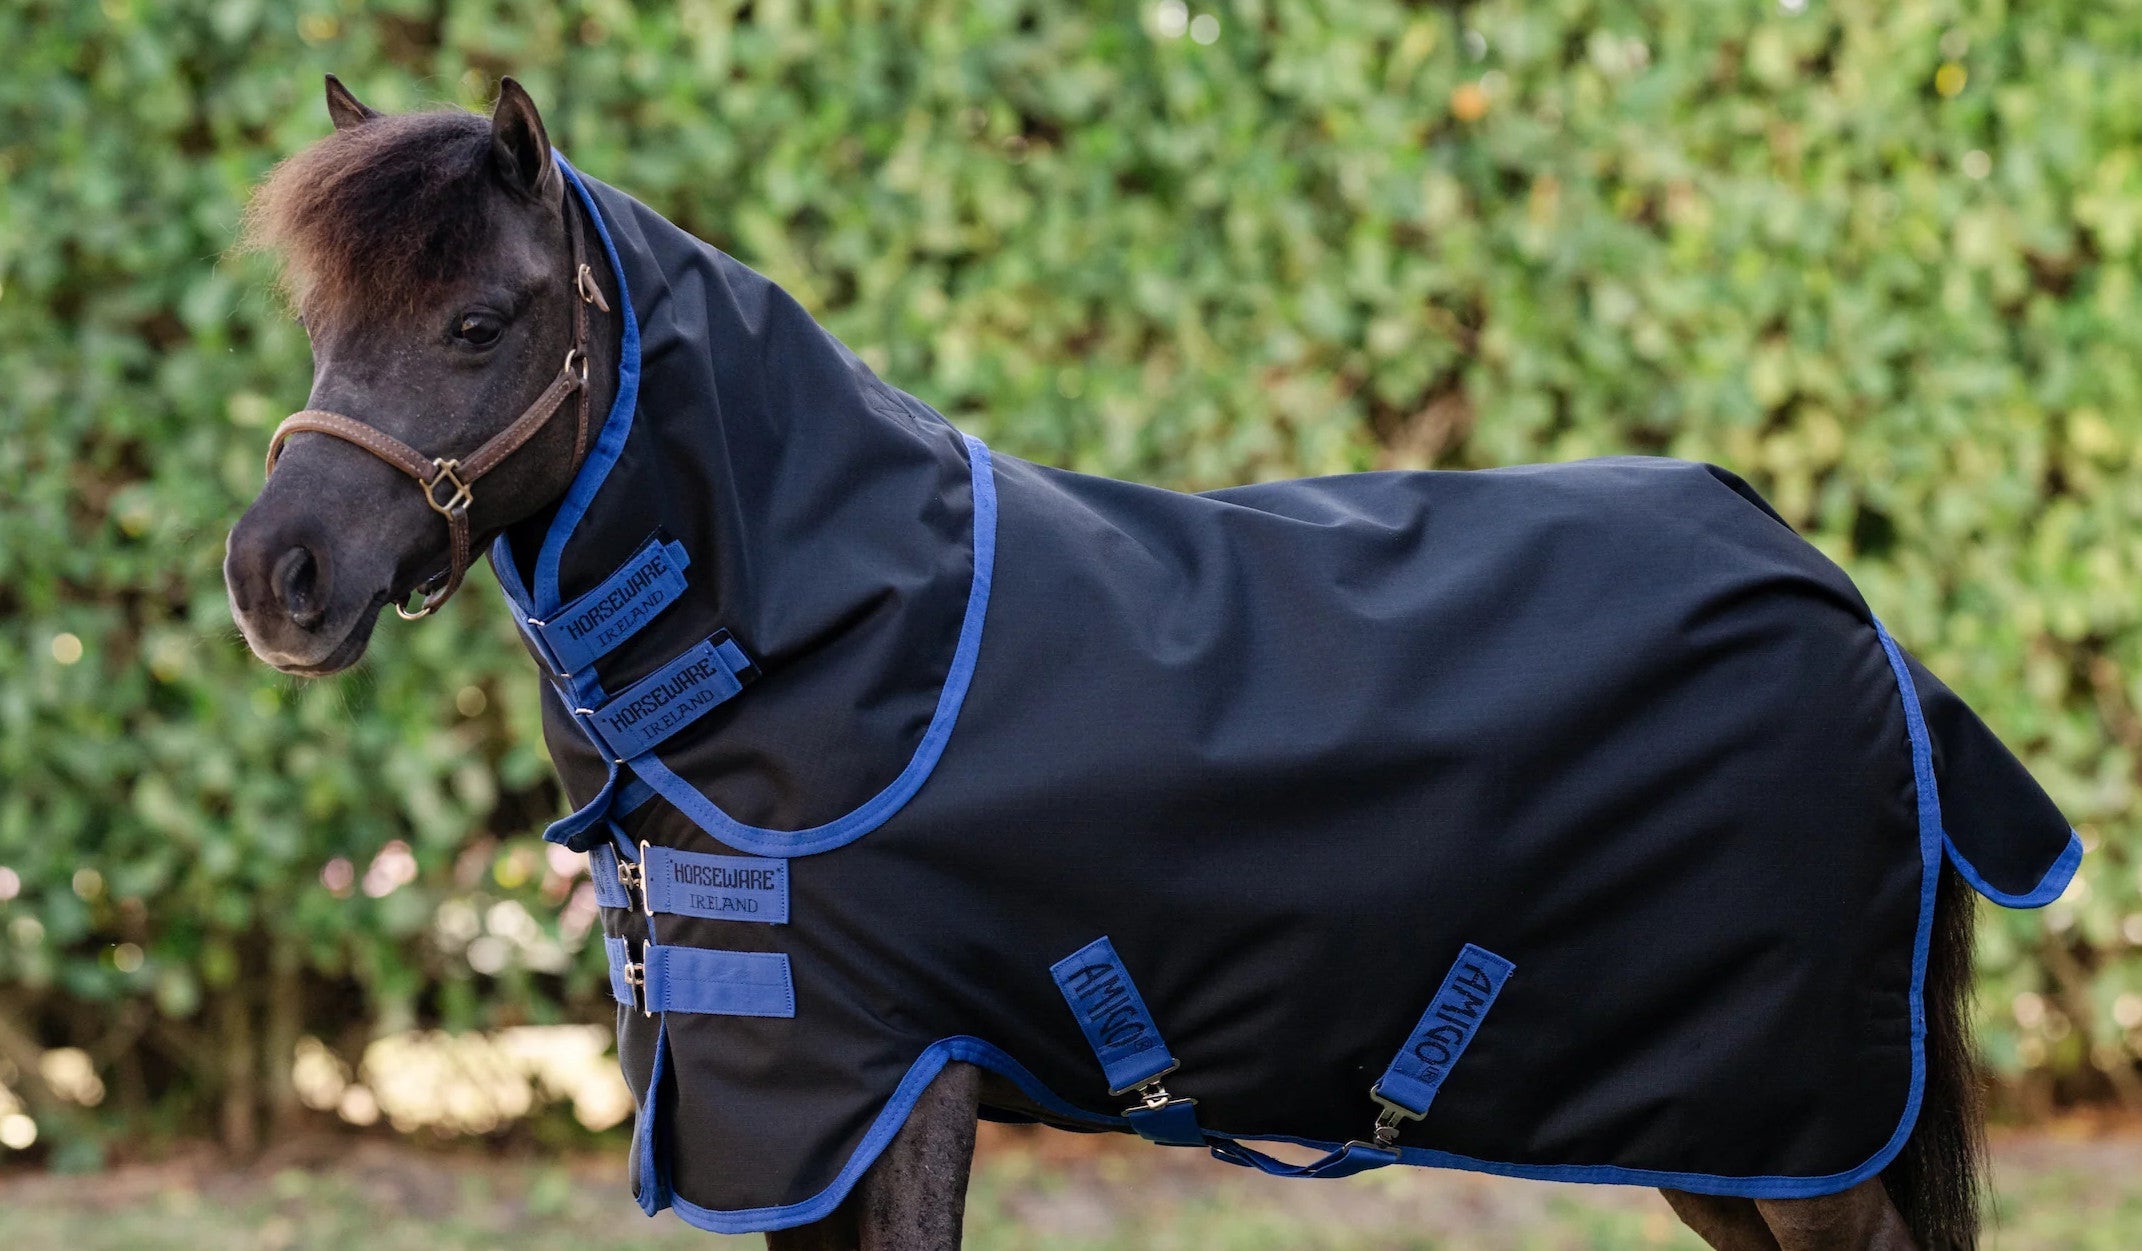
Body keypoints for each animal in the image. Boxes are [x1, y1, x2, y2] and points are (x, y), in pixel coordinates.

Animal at [225, 77, 2080, 1251]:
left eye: (478, 322)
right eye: (318, 326)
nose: (275, 578)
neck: (826, 638)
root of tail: (1844, 606)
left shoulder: (891, 1090)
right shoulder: (792, 1123)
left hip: (1796, 1132)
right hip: (1709, 1131)